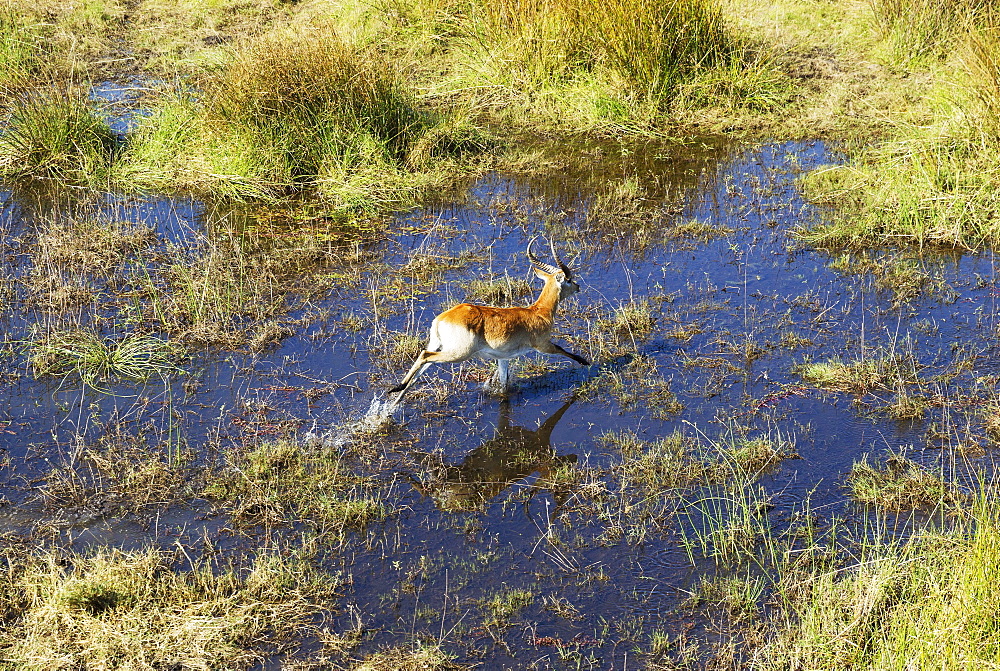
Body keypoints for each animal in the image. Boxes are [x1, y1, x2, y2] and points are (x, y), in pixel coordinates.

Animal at [388, 239, 592, 400]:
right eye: (568, 279)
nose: (578, 286)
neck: (538, 312)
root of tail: (443, 318)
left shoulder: (503, 358)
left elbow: (503, 382)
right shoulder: (543, 345)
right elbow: (562, 349)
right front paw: (586, 362)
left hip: (439, 345)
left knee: (421, 366)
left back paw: (397, 394)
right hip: (458, 353)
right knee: (425, 356)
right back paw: (397, 389)